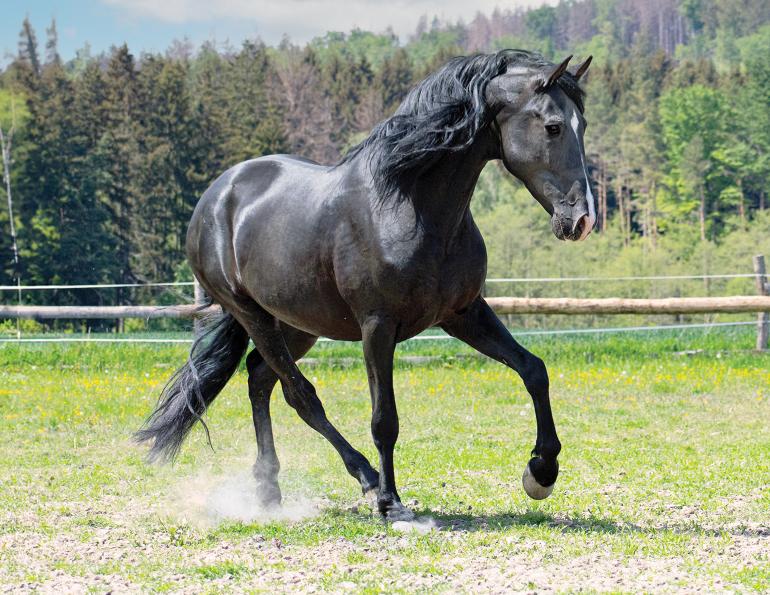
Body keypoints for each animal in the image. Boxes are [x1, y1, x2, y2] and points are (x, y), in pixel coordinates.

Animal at [135, 49, 595, 522]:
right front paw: (391, 503)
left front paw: (541, 471)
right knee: (299, 394)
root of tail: (217, 194)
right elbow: (384, 418)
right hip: (252, 314)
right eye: (553, 126)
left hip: (298, 322)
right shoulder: (378, 326)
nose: (581, 219)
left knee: (260, 379)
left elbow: (533, 370)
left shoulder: (464, 314)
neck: (411, 207)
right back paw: (365, 477)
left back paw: (268, 488)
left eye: (583, 124)